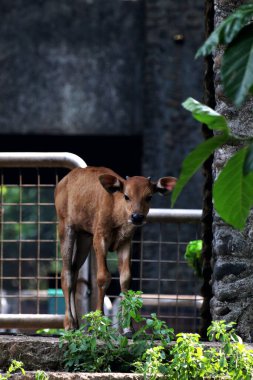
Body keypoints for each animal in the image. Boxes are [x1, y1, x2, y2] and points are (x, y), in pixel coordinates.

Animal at [54, 167, 177, 332]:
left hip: (84, 236)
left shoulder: (125, 242)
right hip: (65, 226)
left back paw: (77, 323)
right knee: (65, 273)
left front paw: (128, 328)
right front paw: (99, 323)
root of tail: (62, 182)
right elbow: (103, 277)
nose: (137, 217)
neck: (117, 216)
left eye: (149, 196)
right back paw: (69, 323)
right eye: (126, 196)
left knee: (74, 272)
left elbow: (126, 279)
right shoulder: (99, 237)